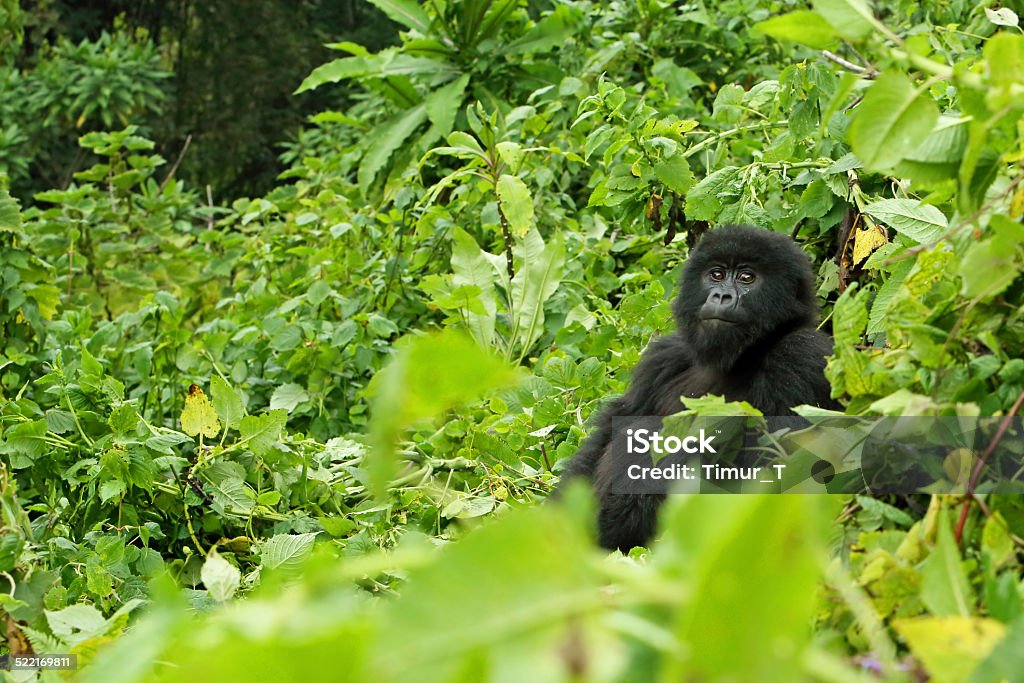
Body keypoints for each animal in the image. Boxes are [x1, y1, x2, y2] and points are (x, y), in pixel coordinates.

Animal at [561, 227, 839, 552]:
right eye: (716, 274)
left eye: (747, 277)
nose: (721, 295)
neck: (743, 355)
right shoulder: (663, 357)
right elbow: (610, 431)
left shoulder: (801, 356)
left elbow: (775, 468)